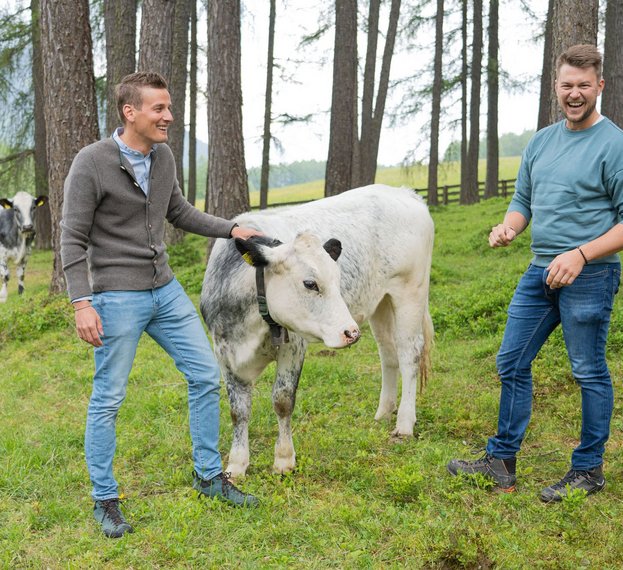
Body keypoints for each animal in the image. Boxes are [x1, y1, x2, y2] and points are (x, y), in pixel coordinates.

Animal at [200, 184, 434, 478]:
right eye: (310, 283)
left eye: (336, 279)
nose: (350, 332)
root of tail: (404, 193)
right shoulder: (224, 352)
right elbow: (238, 410)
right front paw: (237, 465)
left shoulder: (293, 346)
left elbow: (282, 400)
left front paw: (284, 460)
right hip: (380, 302)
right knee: (387, 353)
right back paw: (384, 411)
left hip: (410, 292)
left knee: (408, 354)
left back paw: (404, 423)